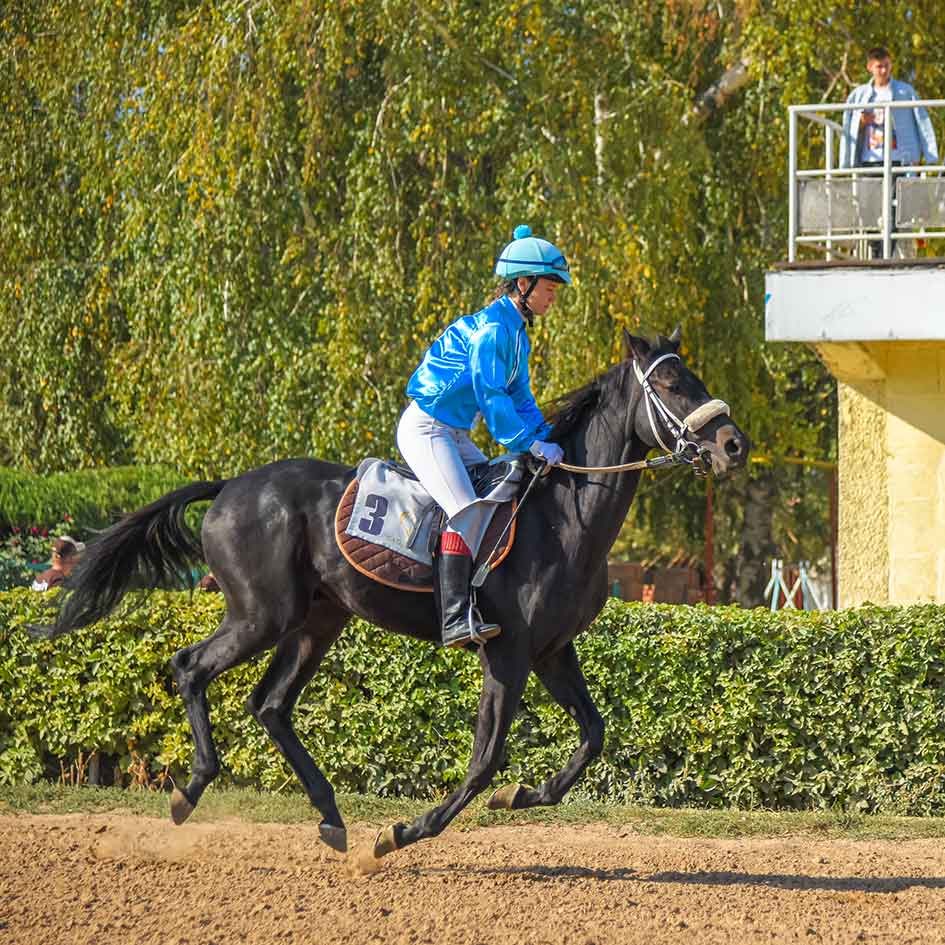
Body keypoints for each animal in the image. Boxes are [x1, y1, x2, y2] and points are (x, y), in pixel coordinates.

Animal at [30, 327, 748, 861]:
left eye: (695, 376)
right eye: (669, 384)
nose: (732, 443)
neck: (563, 515)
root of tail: (231, 485)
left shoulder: (551, 650)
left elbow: (594, 734)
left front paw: (521, 795)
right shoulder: (507, 652)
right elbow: (485, 757)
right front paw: (405, 830)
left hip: (317, 621)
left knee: (271, 705)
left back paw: (329, 815)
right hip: (263, 613)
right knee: (190, 666)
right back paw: (194, 788)